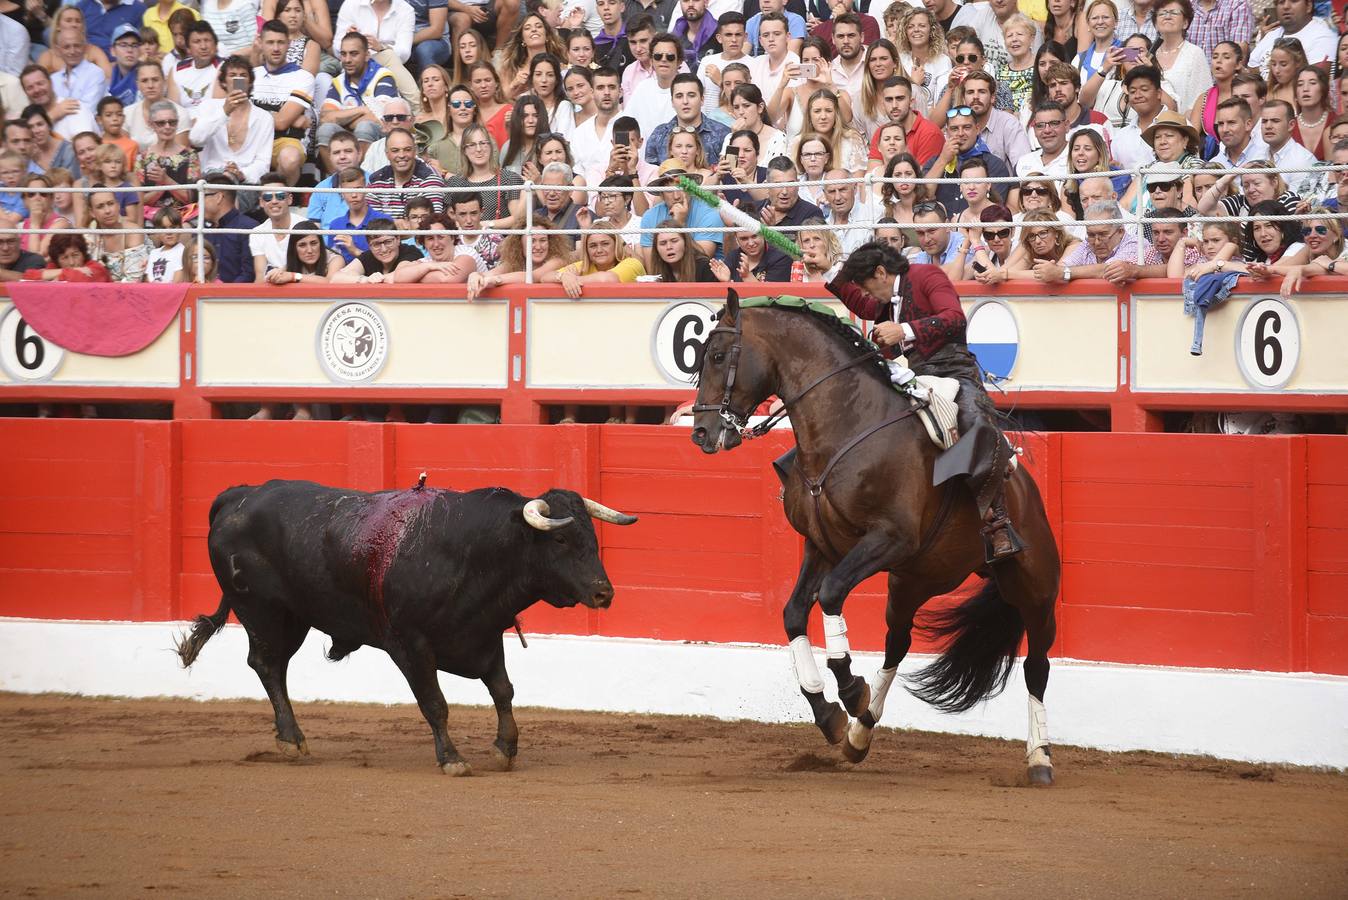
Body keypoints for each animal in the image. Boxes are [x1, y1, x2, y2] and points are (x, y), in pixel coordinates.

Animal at [177, 476, 636, 776]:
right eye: (560, 540)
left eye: (592, 538)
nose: (604, 593)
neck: (473, 551)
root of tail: (239, 496)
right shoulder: (409, 645)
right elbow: (435, 702)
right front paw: (452, 759)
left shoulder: (484, 635)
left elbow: (504, 690)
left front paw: (505, 748)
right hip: (264, 612)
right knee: (268, 666)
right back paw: (291, 739)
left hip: (292, 619)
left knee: (274, 667)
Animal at [695, 292, 1062, 781]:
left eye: (718, 356)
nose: (702, 432)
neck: (846, 425)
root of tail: (1026, 490)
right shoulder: (822, 546)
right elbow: (793, 614)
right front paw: (829, 713)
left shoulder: (889, 539)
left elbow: (831, 595)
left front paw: (850, 689)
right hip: (914, 582)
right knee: (896, 645)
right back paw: (860, 733)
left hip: (1035, 589)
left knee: (1037, 666)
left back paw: (1039, 757)